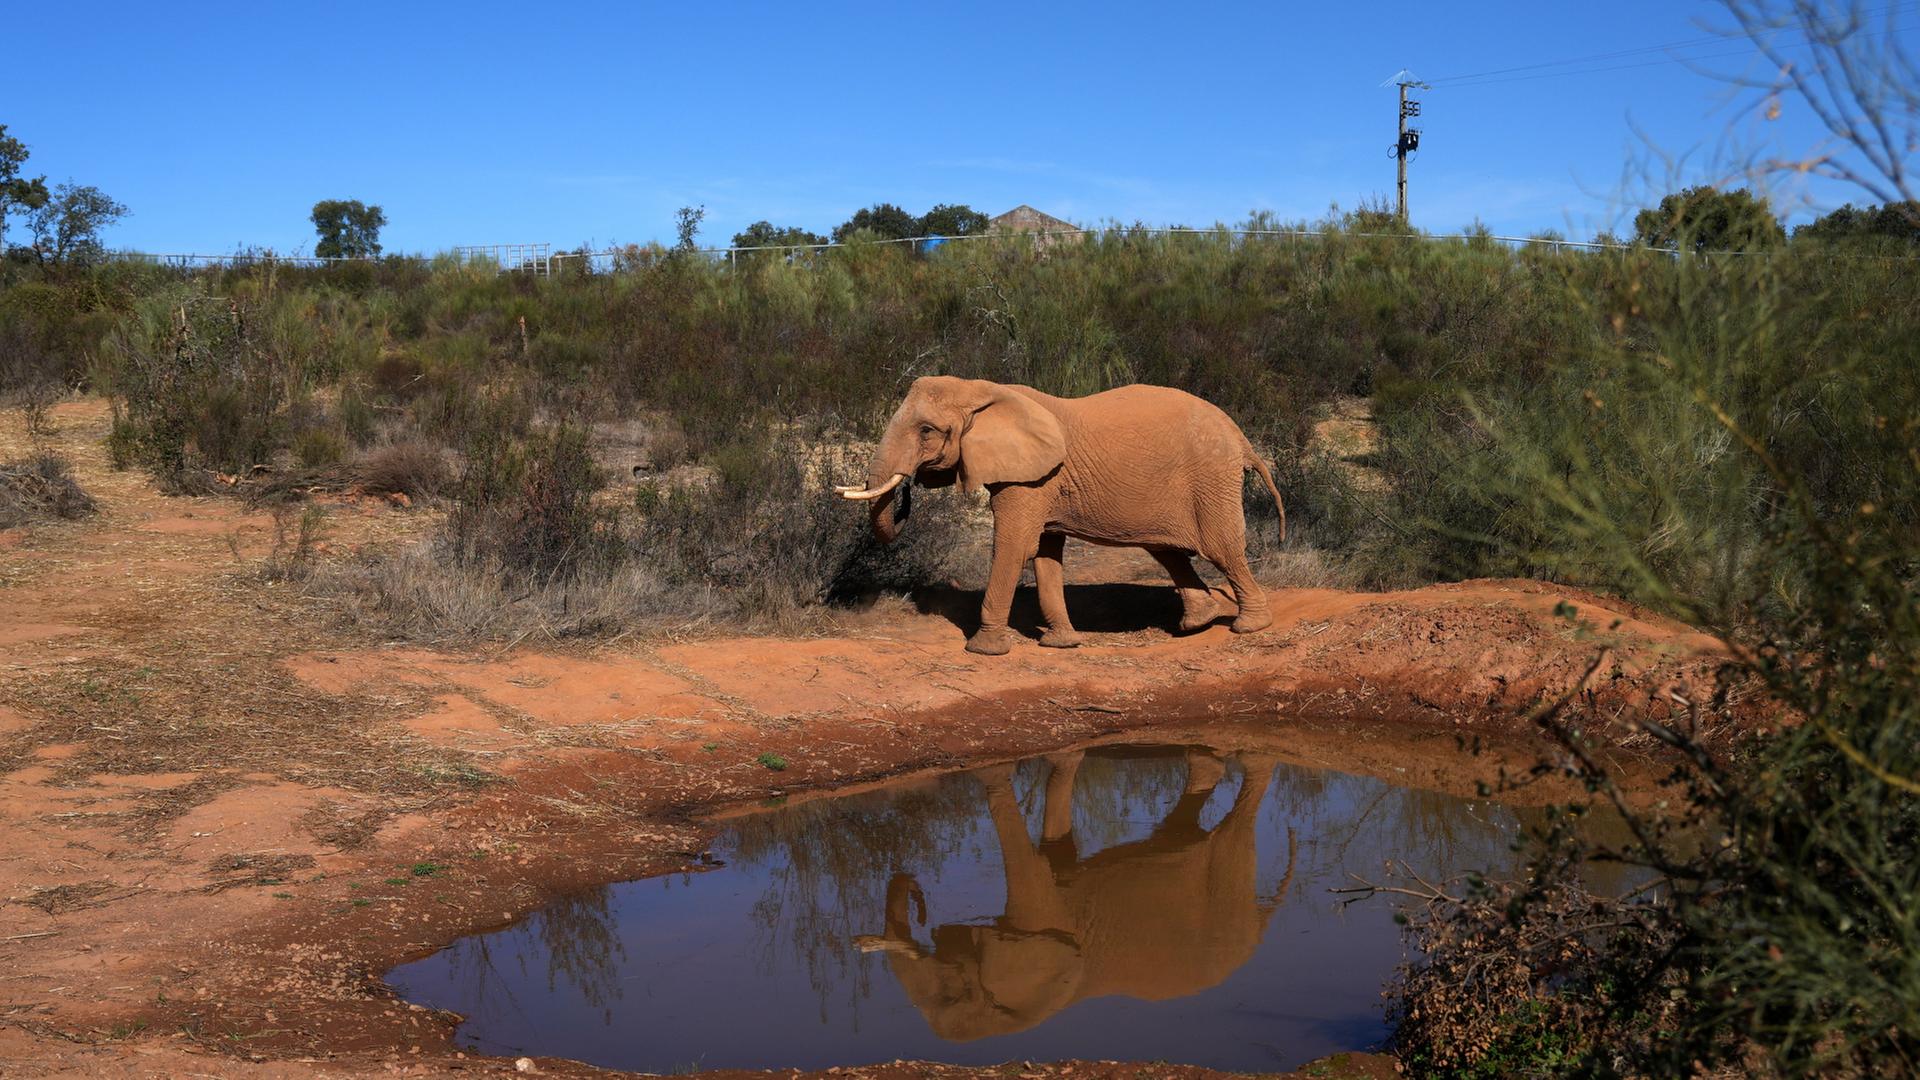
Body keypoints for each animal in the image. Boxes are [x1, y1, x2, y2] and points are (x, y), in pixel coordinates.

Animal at [835, 377, 1285, 654]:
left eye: (927, 431)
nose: (907, 492)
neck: (982, 391)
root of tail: (1242, 437)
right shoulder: (1040, 481)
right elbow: (1045, 555)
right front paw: (1062, 644)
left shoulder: (1030, 479)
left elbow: (1013, 547)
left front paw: (983, 650)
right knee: (1165, 549)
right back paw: (1197, 623)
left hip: (1211, 477)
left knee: (1221, 549)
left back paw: (1249, 626)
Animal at [854, 748, 1295, 1042]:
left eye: (952, 996)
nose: (921, 903)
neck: (1020, 1017)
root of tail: (1258, 926)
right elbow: (1057, 856)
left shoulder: (1041, 919)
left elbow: (1032, 866)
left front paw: (994, 770)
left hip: (1227, 891)